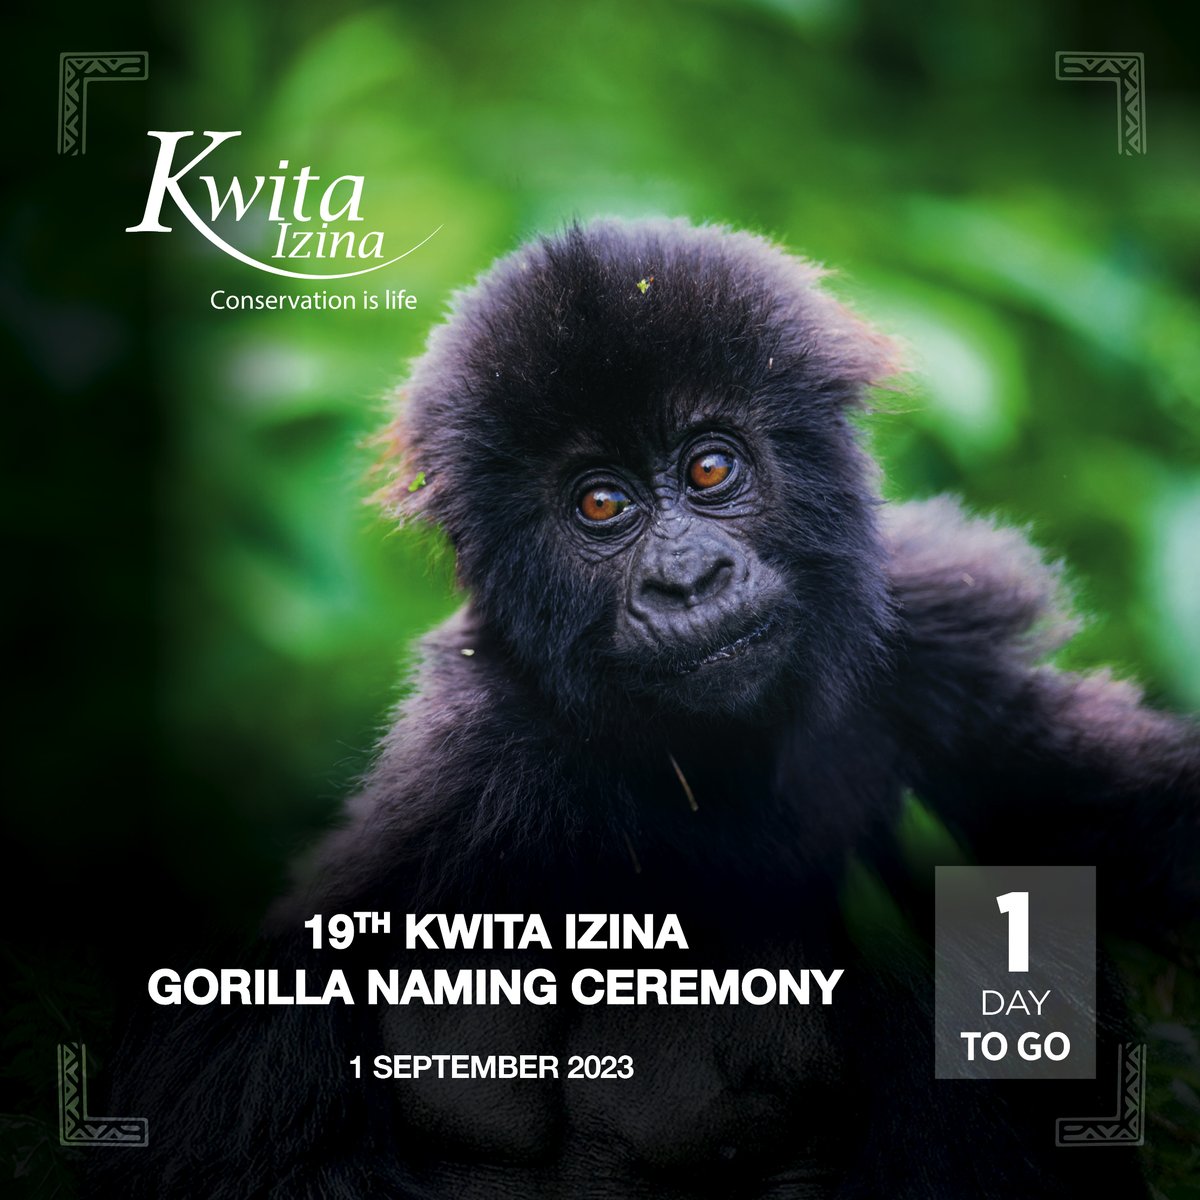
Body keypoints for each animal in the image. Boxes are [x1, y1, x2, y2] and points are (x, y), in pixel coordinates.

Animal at [96, 218, 1199, 1200]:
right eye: (601, 505)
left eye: (710, 468)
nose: (688, 578)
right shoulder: (462, 779)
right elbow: (229, 1151)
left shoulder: (941, 632)